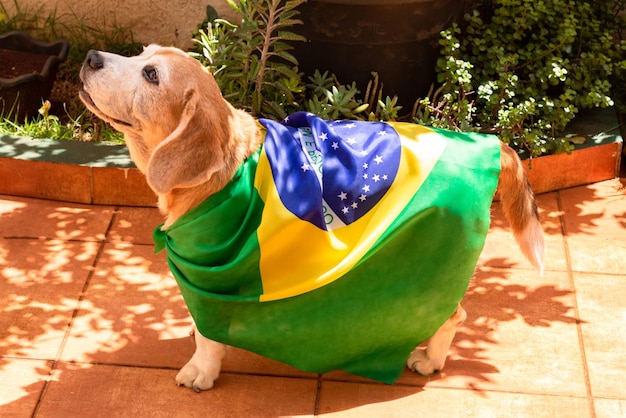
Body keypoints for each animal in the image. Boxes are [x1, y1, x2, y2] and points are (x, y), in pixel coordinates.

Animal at [81, 45, 540, 392]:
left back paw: (431, 359)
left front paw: (201, 371)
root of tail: (485, 143)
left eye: (151, 74)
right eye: (142, 53)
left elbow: (209, 339)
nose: (90, 57)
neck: (228, 173)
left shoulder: (210, 284)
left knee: (454, 317)